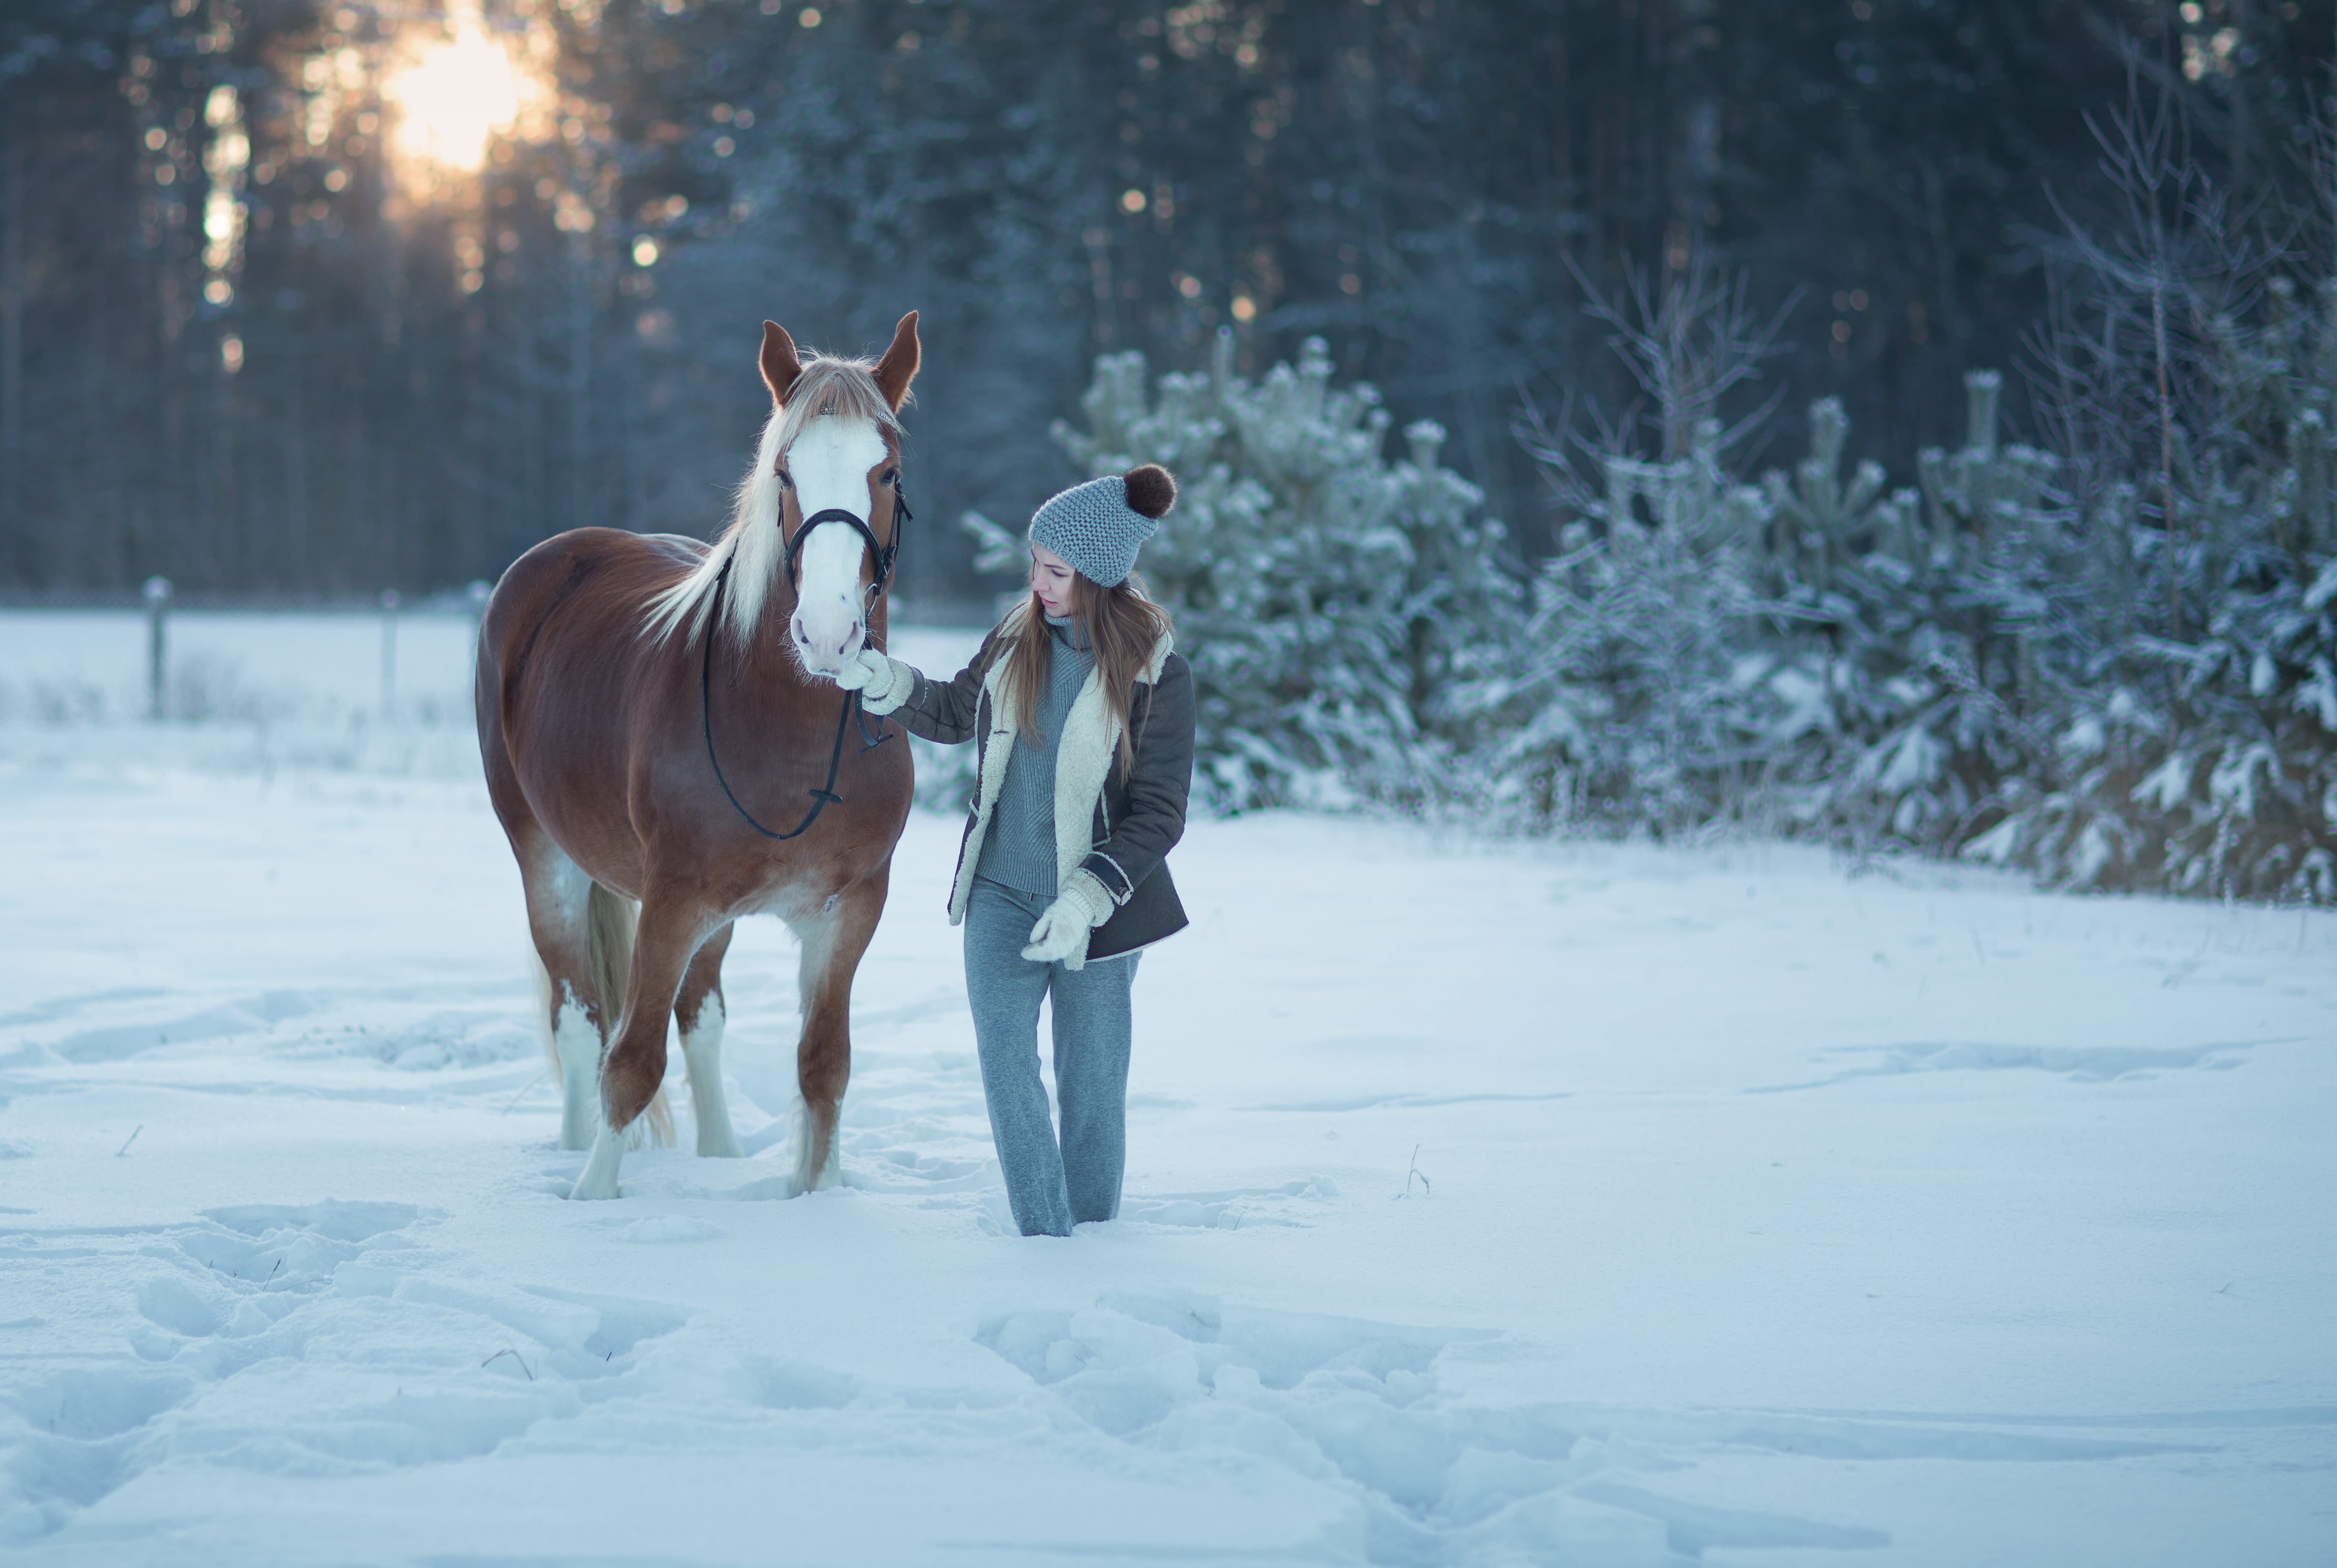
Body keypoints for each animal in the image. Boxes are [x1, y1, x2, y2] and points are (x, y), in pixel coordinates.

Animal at [474, 315, 920, 1205]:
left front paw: (818, 1202)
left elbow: (823, 1068)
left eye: (885, 470)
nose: (828, 636)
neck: (791, 739)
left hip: (715, 917)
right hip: (547, 860)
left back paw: (719, 1157)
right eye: (784, 471)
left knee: (701, 1019)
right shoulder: (671, 901)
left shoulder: (850, 911)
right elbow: (629, 1064)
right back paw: (568, 1151)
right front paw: (589, 1199)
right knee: (580, 1024)